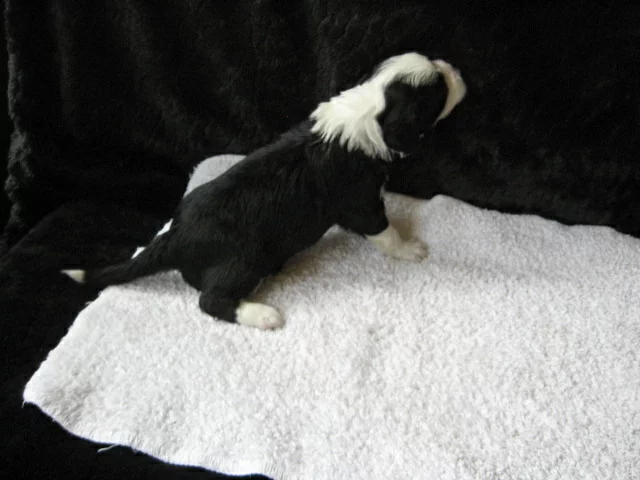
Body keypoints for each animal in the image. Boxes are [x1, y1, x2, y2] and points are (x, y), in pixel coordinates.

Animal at [62, 53, 466, 329]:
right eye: (438, 89)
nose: (456, 69)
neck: (368, 115)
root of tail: (176, 237)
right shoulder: (360, 201)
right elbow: (383, 231)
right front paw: (411, 249)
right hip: (243, 258)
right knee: (211, 300)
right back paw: (262, 314)